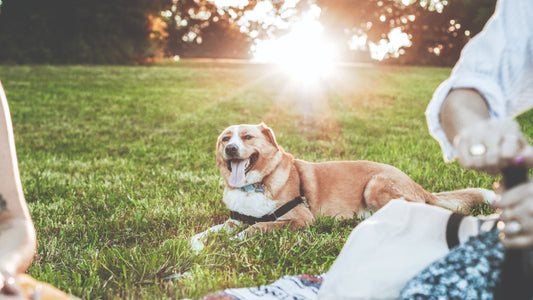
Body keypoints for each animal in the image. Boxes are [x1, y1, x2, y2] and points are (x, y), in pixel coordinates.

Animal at [190, 123, 490, 245]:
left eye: (247, 137)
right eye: (225, 138)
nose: (230, 149)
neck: (255, 185)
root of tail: (417, 185)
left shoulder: (300, 219)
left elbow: (260, 226)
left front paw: (236, 240)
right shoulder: (236, 218)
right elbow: (212, 230)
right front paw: (196, 242)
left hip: (376, 185)